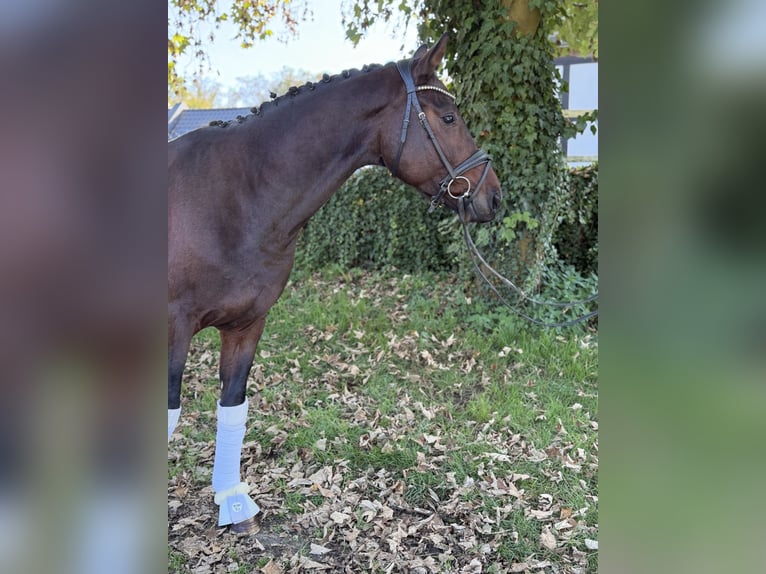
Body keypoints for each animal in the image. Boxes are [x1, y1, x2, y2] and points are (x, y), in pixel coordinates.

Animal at [168, 34, 502, 533]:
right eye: (448, 117)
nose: (494, 196)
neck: (231, 196)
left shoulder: (247, 325)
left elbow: (231, 406)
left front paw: (232, 504)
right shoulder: (173, 327)